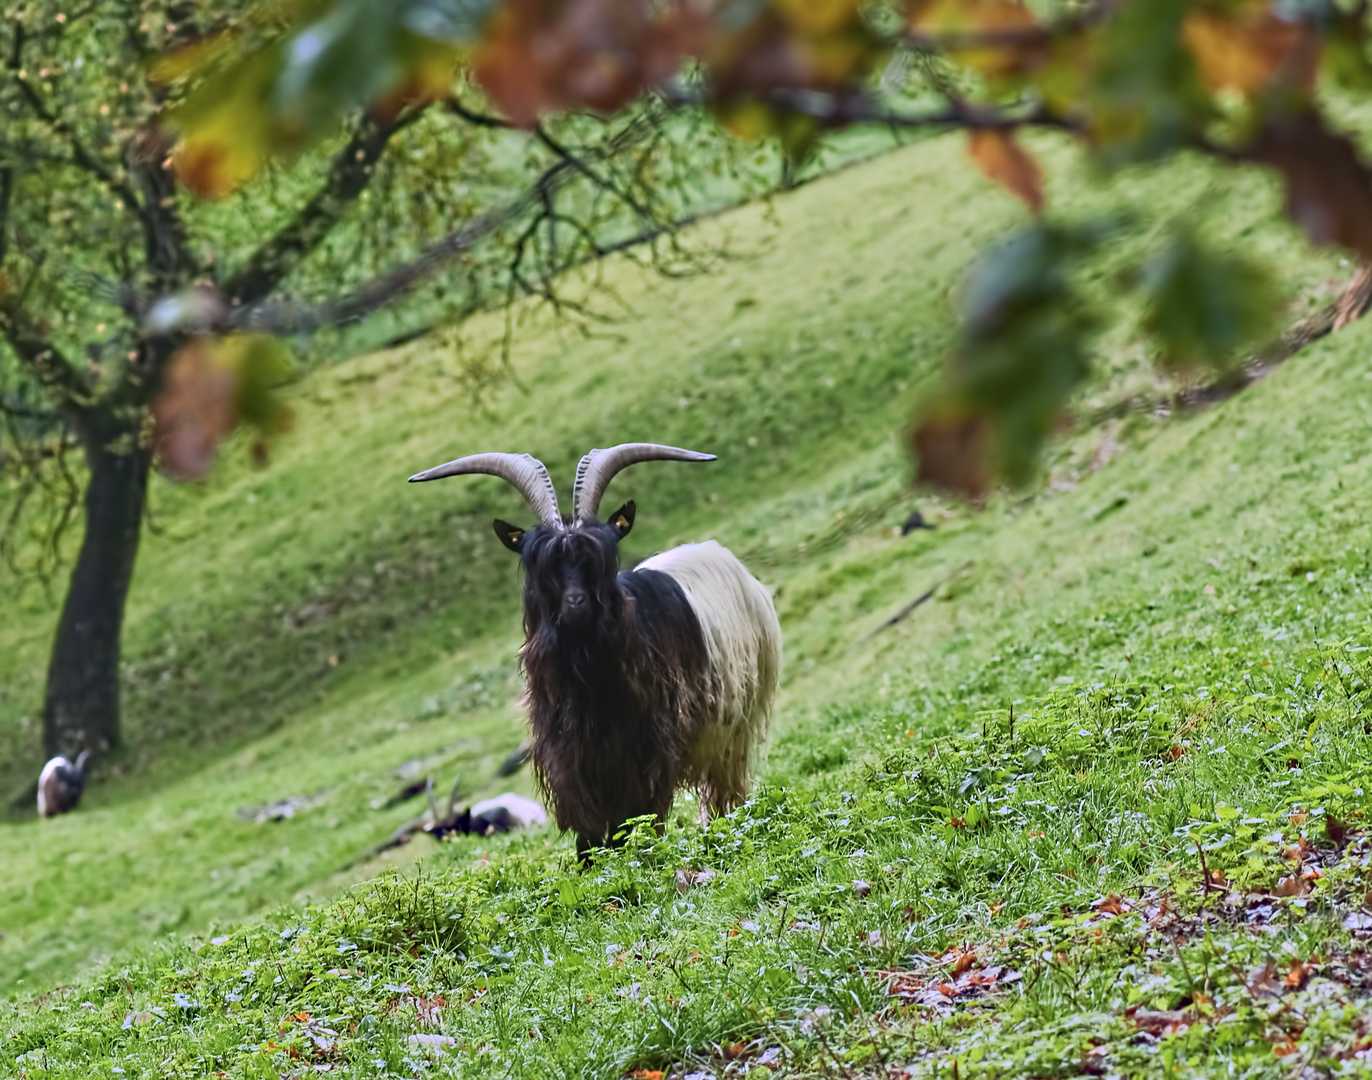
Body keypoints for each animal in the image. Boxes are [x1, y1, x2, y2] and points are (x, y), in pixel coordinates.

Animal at [408, 444, 784, 856]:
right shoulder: (568, 754)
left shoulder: (646, 747)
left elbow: (638, 814)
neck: (588, 681)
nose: (576, 603)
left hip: (734, 726)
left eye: (596, 556)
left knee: (723, 788)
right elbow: (587, 826)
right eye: (544, 563)